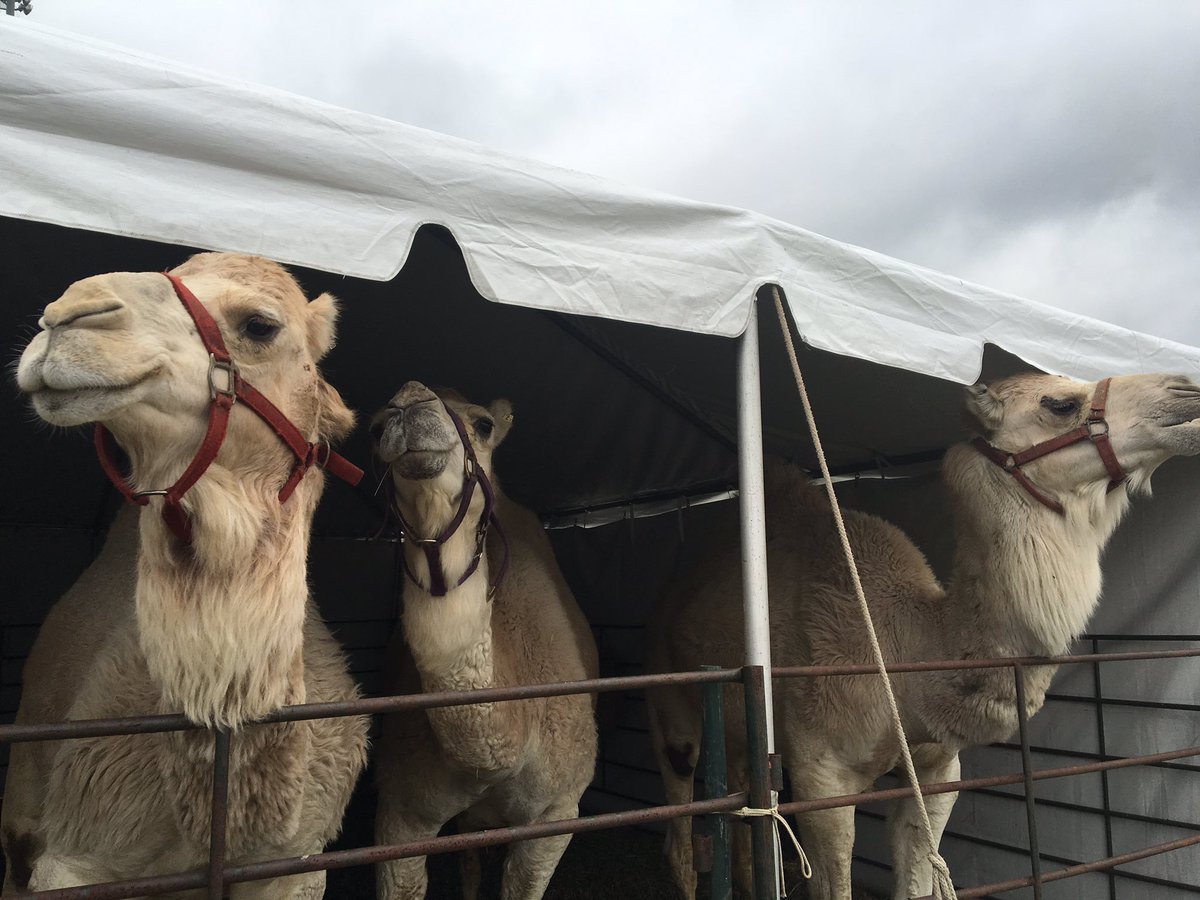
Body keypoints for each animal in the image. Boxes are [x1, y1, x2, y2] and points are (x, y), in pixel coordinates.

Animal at [647, 372, 1200, 900]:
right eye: (1060, 404)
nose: (1187, 393)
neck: (908, 652)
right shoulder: (821, 773)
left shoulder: (937, 769)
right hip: (667, 684)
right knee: (680, 799)